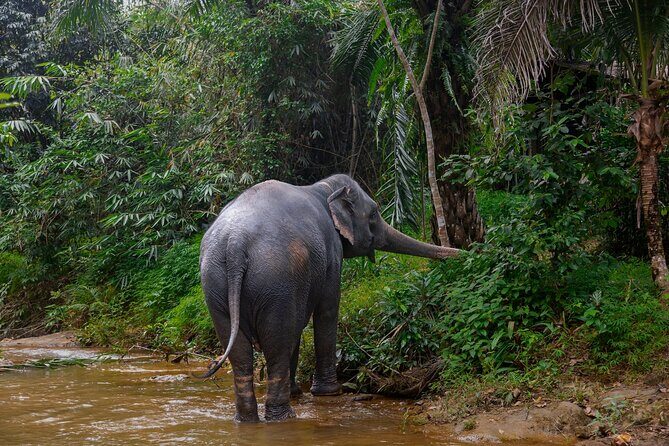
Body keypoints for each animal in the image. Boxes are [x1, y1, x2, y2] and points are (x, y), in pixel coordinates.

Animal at [197, 174, 459, 422]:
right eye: (374, 213)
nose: (464, 252)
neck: (323, 187)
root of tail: (236, 244)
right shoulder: (332, 252)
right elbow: (327, 310)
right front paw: (330, 392)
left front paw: (299, 392)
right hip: (274, 282)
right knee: (278, 342)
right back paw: (284, 417)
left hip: (216, 287)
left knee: (240, 352)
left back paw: (247, 419)